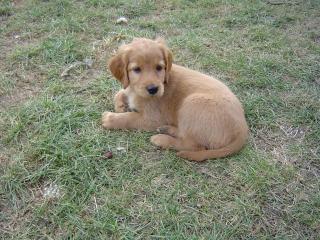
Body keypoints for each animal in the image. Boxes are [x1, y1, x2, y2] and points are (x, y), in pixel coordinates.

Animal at [102, 37, 248, 161]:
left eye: (159, 67)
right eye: (136, 69)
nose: (153, 89)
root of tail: (242, 129)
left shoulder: (152, 118)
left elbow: (130, 117)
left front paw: (110, 119)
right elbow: (120, 92)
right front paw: (120, 106)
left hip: (191, 103)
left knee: (194, 145)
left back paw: (162, 139)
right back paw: (167, 129)